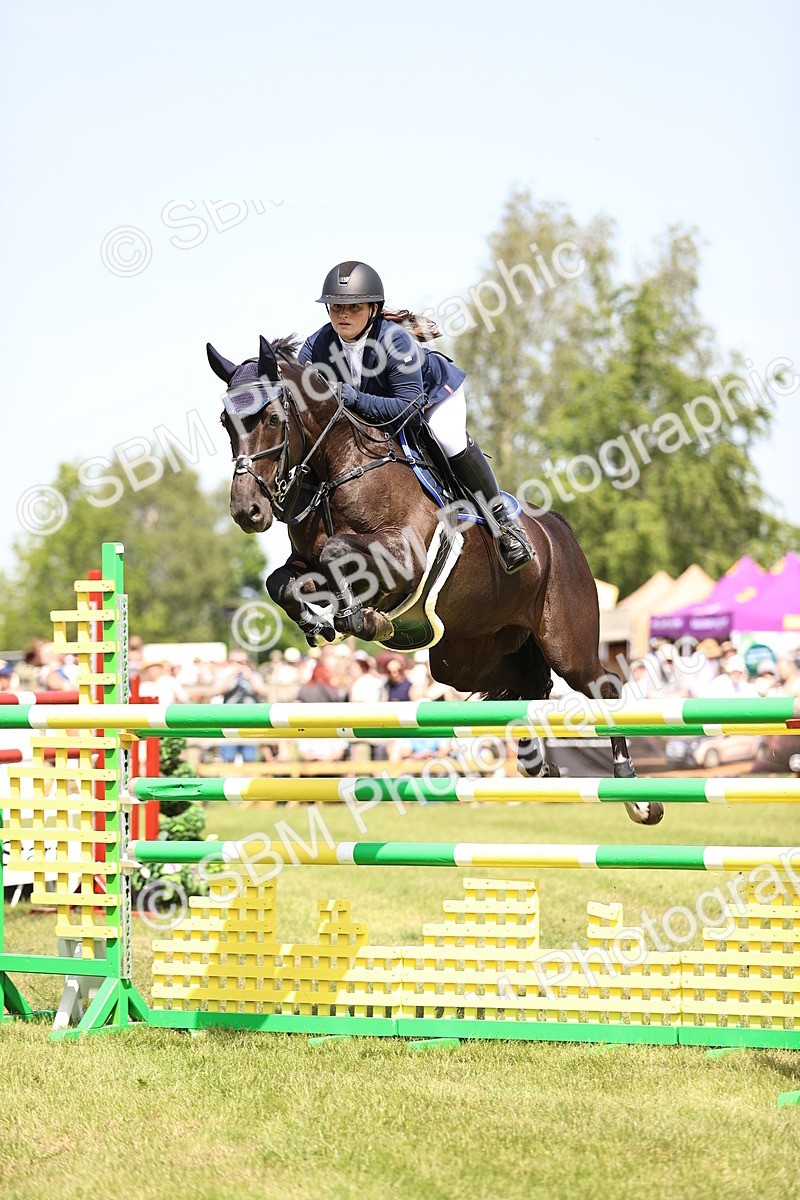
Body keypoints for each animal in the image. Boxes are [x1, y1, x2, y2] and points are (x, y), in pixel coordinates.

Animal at [208, 334, 663, 826]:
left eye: (273, 418)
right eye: (225, 422)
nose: (248, 511)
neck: (339, 470)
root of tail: (558, 529)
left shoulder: (402, 556)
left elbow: (337, 554)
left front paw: (359, 619)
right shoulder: (304, 562)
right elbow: (283, 582)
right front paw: (320, 622)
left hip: (566, 641)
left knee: (603, 685)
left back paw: (636, 793)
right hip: (465, 654)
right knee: (524, 687)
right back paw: (538, 764)